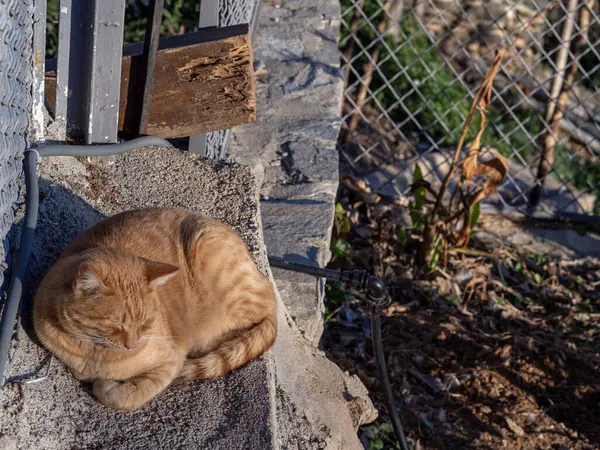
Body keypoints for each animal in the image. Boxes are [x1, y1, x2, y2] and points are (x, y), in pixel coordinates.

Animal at [32, 207, 276, 412]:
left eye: (145, 322)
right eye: (114, 325)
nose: (131, 345)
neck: (95, 353)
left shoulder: (170, 362)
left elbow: (122, 396)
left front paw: (106, 385)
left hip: (211, 253)